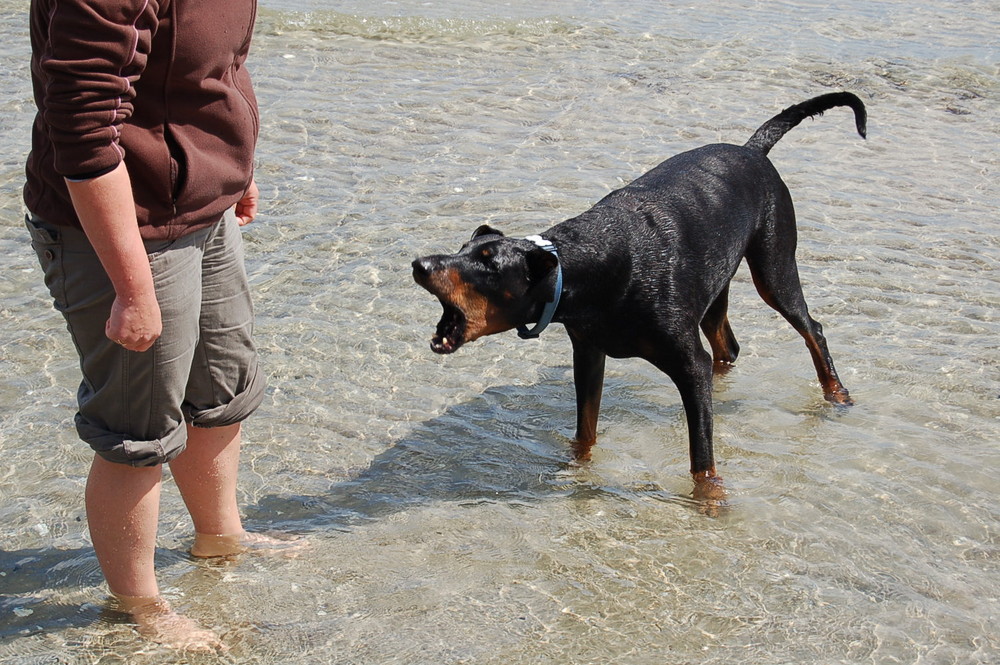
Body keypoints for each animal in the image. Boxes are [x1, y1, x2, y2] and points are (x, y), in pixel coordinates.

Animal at [410, 93, 864, 498]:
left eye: (488, 263)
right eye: (462, 248)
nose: (420, 264)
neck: (589, 268)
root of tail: (752, 151)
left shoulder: (687, 363)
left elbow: (701, 455)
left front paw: (710, 499)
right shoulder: (588, 353)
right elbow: (585, 431)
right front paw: (577, 469)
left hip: (774, 268)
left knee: (812, 329)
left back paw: (837, 393)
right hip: (715, 286)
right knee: (726, 347)